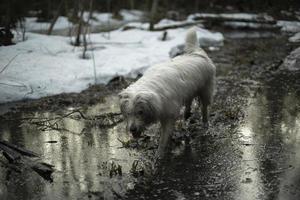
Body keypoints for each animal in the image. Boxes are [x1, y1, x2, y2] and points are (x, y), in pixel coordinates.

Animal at [119, 27, 216, 158]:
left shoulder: (169, 115)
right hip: (189, 89)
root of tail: (197, 53)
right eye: (128, 113)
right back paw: (186, 114)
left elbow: (164, 137)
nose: (132, 129)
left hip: (205, 90)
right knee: (189, 100)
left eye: (140, 112)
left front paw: (159, 154)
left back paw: (205, 125)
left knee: (204, 108)